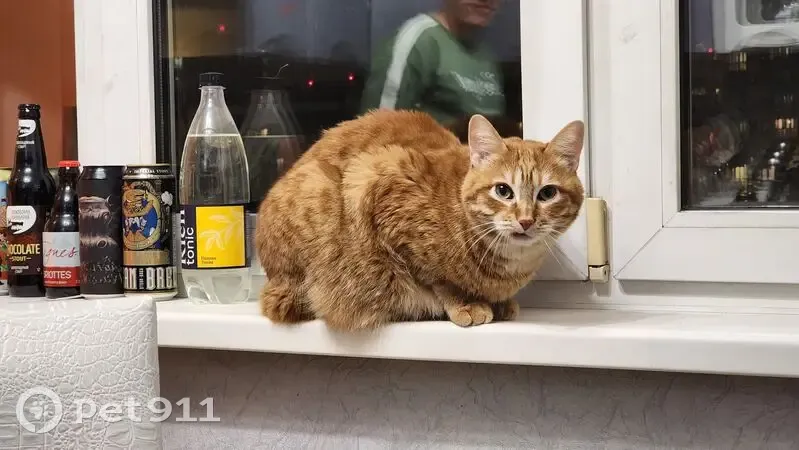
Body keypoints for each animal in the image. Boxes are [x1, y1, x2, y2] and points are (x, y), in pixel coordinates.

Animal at [255, 109, 584, 331]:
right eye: (503, 191)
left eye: (547, 193)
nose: (526, 220)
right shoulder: (379, 185)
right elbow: (438, 280)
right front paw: (464, 303)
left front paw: (498, 303)